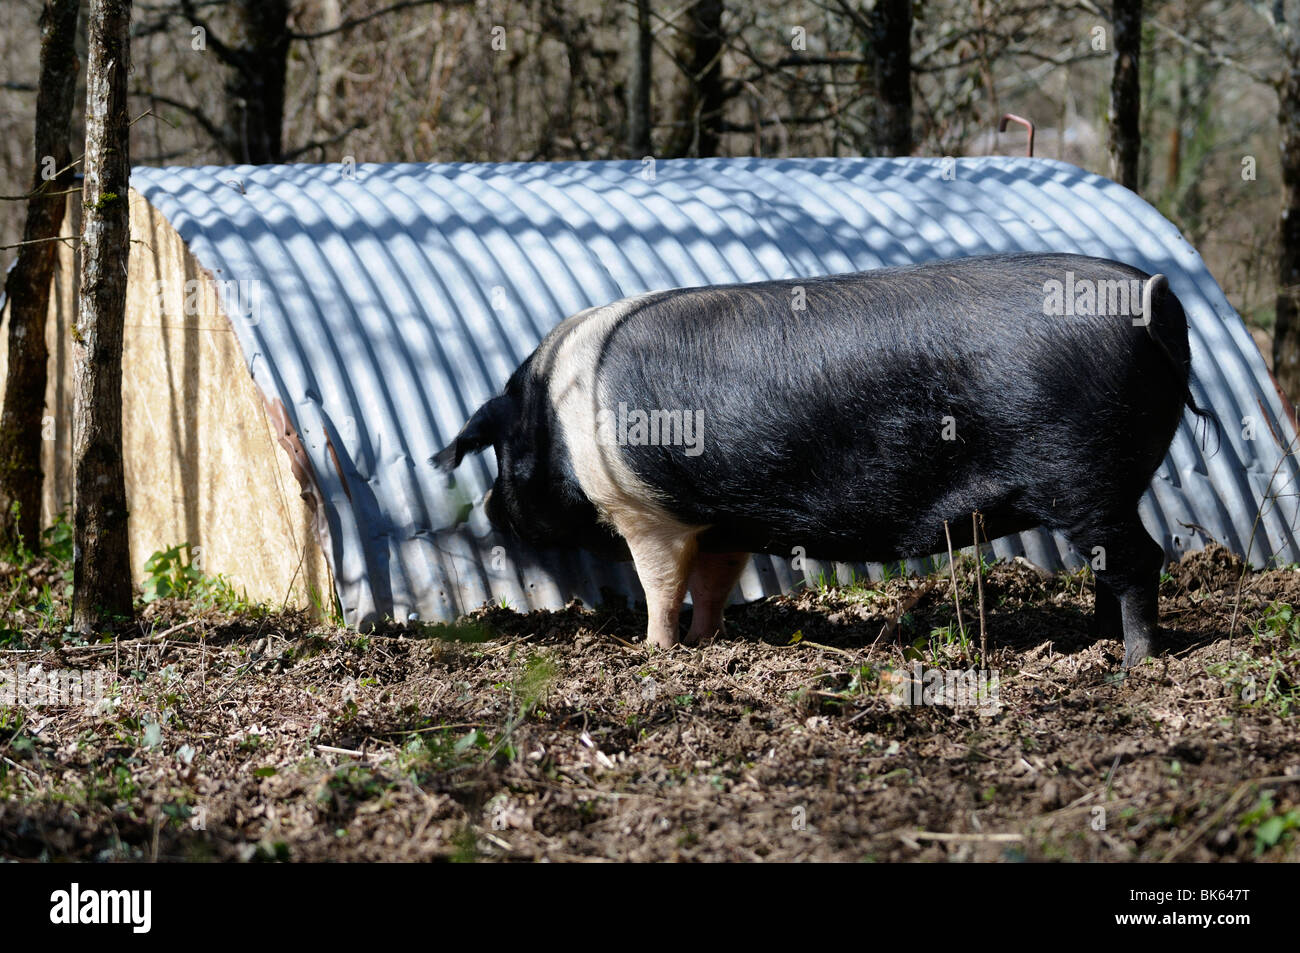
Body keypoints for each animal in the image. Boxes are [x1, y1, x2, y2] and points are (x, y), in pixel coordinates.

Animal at [435, 252, 1210, 668]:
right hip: (1109, 482)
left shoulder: (650, 513)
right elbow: (713, 582)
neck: (552, 407)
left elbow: (660, 582)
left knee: (1138, 560)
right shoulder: (728, 521)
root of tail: (1156, 297)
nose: (492, 509)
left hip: (1084, 477)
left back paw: (1131, 661)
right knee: (1112, 567)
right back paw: (1094, 641)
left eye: (502, 448)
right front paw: (708, 640)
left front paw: (652, 651)